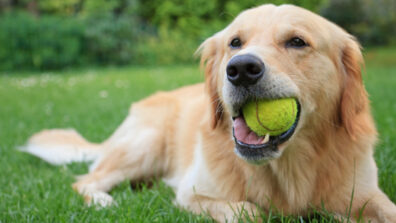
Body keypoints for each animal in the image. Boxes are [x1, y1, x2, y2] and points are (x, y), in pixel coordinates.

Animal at [24, 3, 396, 223]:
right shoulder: (192, 193)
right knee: (84, 181)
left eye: (297, 41)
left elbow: (387, 210)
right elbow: (249, 211)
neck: (288, 167)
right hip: (144, 145)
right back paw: (103, 201)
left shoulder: (365, 193)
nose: (241, 69)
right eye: (235, 43)